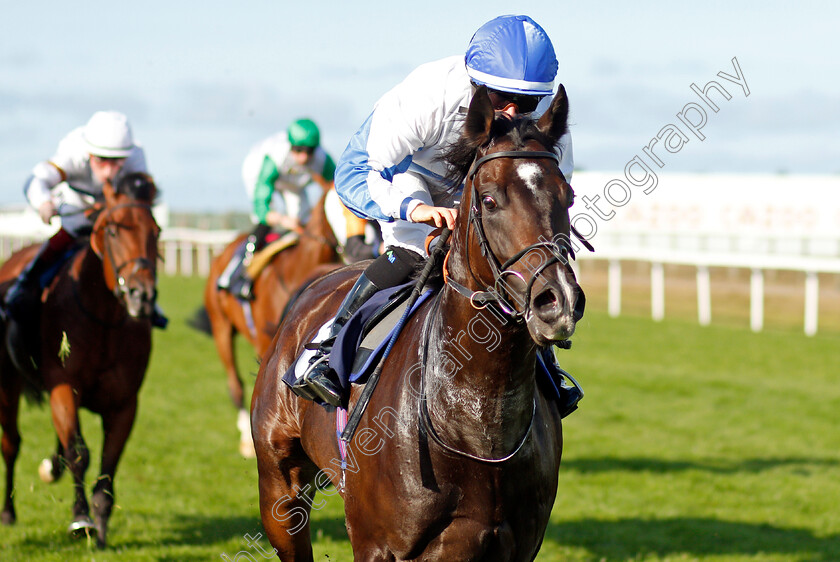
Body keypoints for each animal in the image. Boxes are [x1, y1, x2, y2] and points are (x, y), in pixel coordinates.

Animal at [0, 172, 160, 548]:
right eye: (113, 230)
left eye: (156, 231)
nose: (142, 296)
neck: (102, 318)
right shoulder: (63, 388)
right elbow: (79, 453)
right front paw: (81, 519)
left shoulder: (124, 403)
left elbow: (108, 463)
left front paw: (100, 526)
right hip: (7, 384)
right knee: (11, 444)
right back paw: (9, 512)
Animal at [251, 85, 584, 556]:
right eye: (489, 199)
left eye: (567, 196)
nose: (557, 301)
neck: (477, 425)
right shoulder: (376, 543)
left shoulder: (517, 544)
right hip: (280, 489)